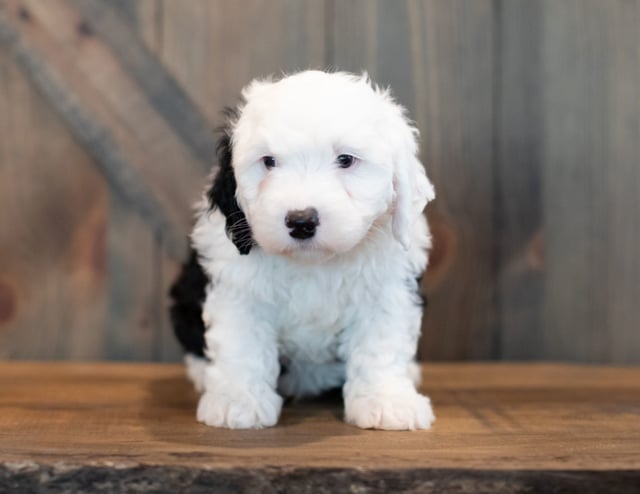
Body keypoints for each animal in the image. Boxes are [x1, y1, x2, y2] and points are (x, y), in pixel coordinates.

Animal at [169, 71, 436, 430]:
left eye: (345, 160)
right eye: (268, 161)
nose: (301, 221)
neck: (314, 263)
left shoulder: (387, 289)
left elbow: (380, 345)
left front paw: (387, 401)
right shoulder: (239, 288)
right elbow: (241, 343)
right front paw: (238, 401)